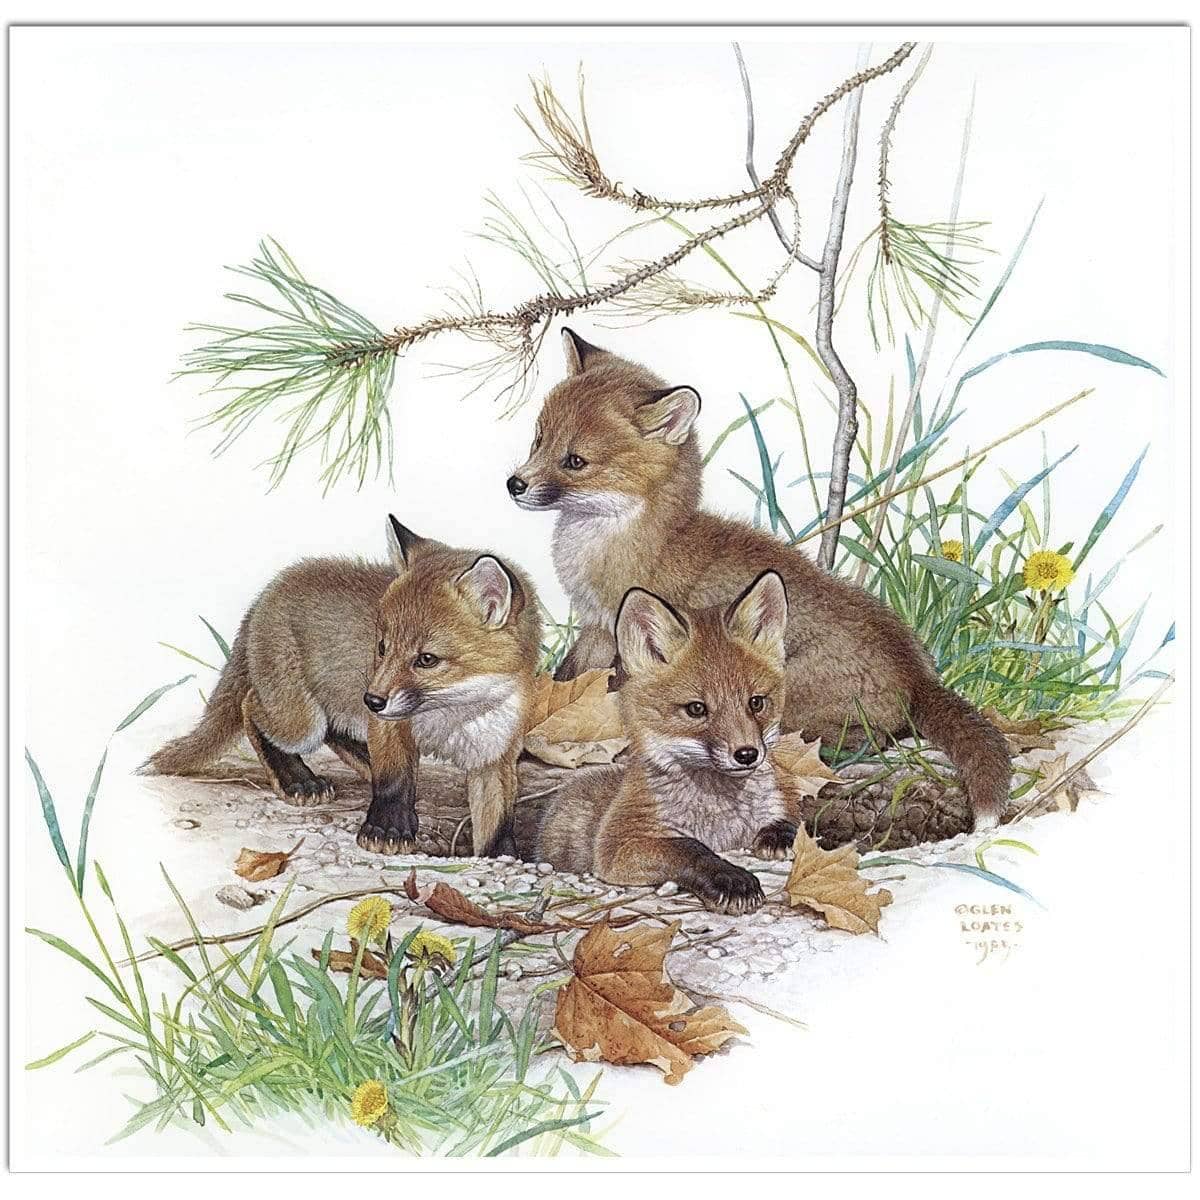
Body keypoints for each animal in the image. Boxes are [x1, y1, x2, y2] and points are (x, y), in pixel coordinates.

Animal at [142, 516, 541, 857]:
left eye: (427, 659)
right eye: (382, 647)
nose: (372, 699)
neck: (453, 715)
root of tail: (266, 596)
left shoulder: (494, 752)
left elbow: (498, 818)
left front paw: (503, 855)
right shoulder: (389, 726)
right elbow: (394, 780)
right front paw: (387, 829)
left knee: (333, 730)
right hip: (299, 722)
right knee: (251, 705)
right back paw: (298, 780)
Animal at [508, 328, 1011, 830]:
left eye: (575, 461)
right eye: (538, 440)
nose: (514, 484)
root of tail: (918, 671)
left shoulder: (619, 632)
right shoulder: (594, 625)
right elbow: (566, 676)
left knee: (857, 737)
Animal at [537, 571, 798, 913]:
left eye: (756, 703)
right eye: (696, 709)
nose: (746, 754)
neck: (721, 817)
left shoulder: (780, 803)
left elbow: (794, 822)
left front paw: (778, 836)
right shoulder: (617, 844)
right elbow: (688, 847)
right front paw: (730, 879)